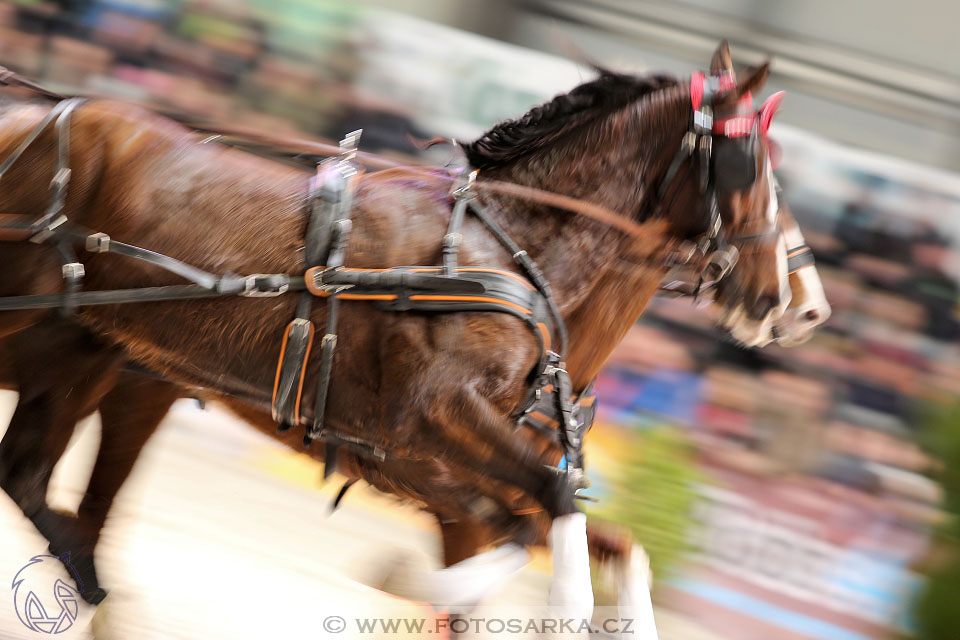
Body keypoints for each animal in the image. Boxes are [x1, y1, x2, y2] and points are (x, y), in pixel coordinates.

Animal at [0, 43, 796, 620]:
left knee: (34, 478)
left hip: (93, 353)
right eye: (750, 161)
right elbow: (549, 505)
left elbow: (589, 534)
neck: (503, 248)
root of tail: (36, 111)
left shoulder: (454, 467)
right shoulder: (433, 422)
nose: (782, 300)